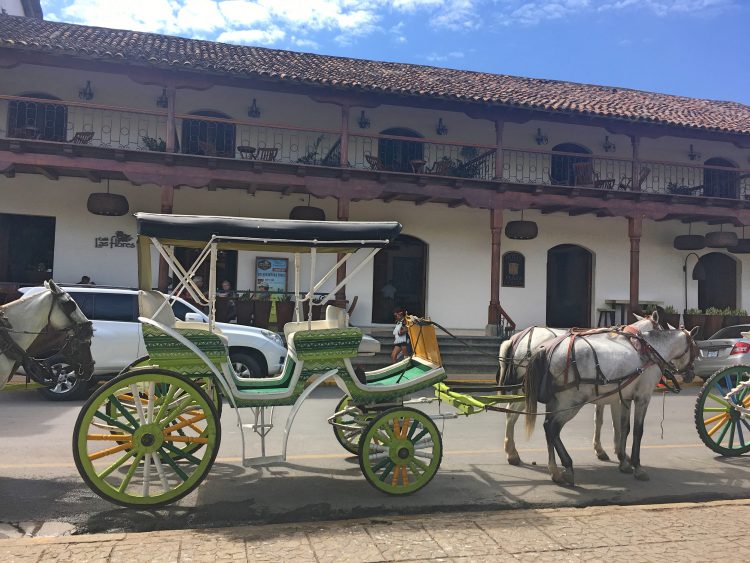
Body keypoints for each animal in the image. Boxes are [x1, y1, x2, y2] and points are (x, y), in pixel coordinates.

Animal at [502, 310, 660, 464]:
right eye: (660, 327)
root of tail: (517, 338)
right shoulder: (617, 394)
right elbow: (617, 424)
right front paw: (621, 453)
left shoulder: (604, 393)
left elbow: (599, 420)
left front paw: (600, 449)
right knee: (511, 414)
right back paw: (512, 454)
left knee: (510, 412)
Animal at [524, 326, 696, 484]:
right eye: (695, 348)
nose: (691, 374)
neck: (651, 351)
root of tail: (548, 350)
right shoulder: (643, 398)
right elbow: (637, 431)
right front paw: (637, 466)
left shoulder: (626, 398)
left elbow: (624, 428)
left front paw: (623, 461)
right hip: (571, 402)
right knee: (552, 428)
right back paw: (568, 466)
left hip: (556, 402)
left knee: (548, 428)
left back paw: (554, 471)